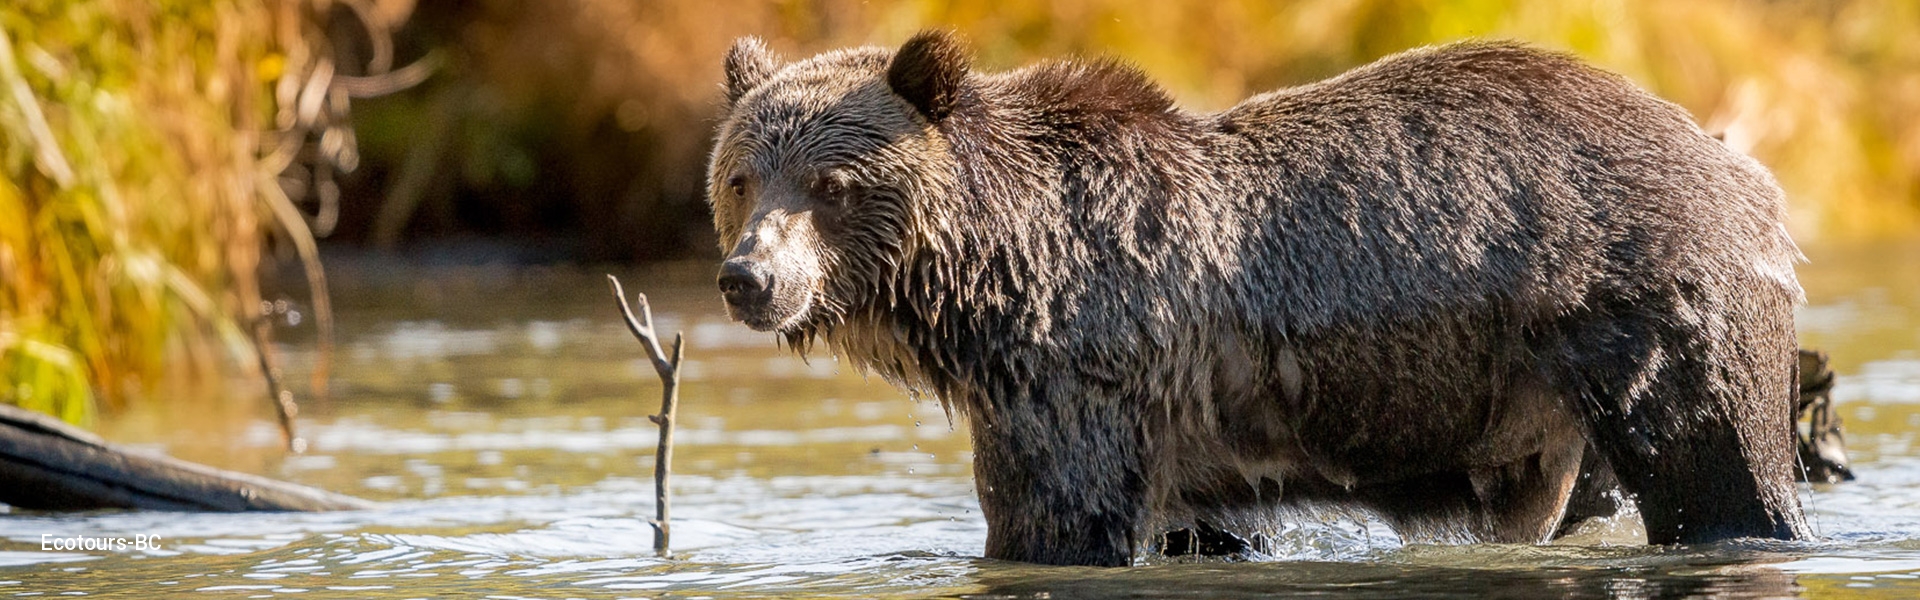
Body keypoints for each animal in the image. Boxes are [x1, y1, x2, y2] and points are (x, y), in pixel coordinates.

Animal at [702, 31, 1797, 565]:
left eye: (832, 185)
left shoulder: (1079, 371)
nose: (750, 278)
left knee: (1717, 465)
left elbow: (1052, 522)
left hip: (1650, 311)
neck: (990, 279)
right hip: (1543, 405)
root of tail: (1742, 167)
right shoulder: (1170, 428)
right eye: (743, 178)